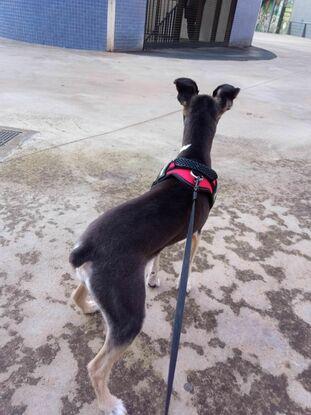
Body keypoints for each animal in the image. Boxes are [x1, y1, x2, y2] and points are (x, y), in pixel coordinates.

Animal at [70, 79, 241, 415]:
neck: (194, 159)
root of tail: (87, 248)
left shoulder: (160, 243)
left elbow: (158, 258)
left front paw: (154, 277)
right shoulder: (195, 233)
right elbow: (189, 263)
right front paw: (184, 284)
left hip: (97, 282)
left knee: (76, 294)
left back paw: (89, 307)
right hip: (129, 315)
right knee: (96, 368)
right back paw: (110, 403)